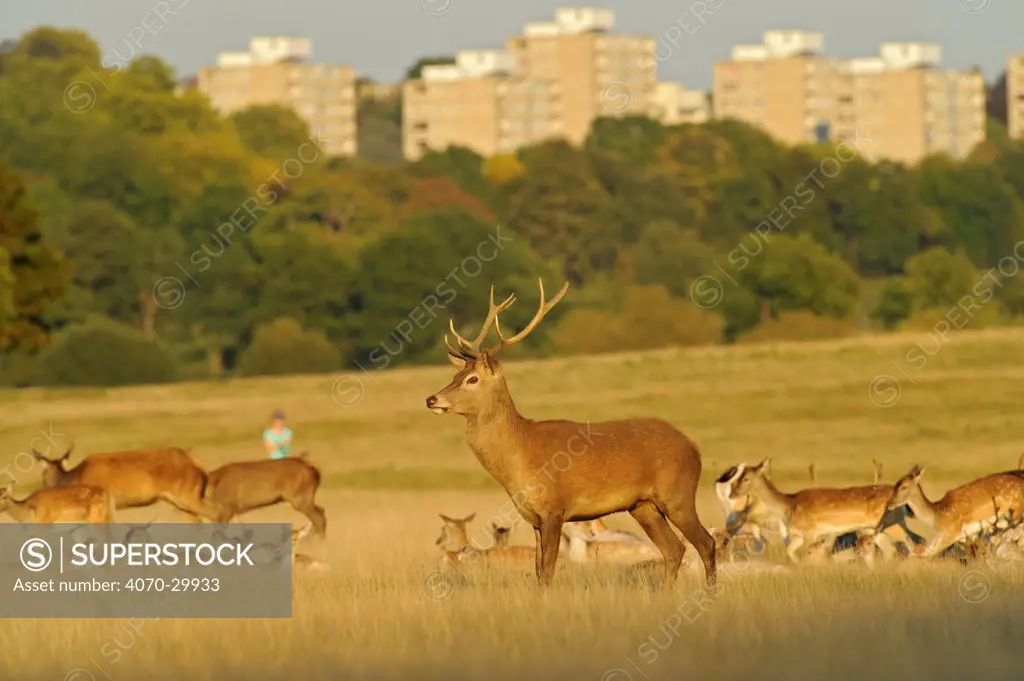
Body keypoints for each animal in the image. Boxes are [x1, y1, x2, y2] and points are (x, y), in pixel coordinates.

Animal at [31, 440, 214, 520]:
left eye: (43, 476)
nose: (41, 489)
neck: (75, 478)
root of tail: (197, 463)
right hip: (180, 502)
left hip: (188, 495)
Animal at [421, 278, 712, 585]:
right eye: (454, 376)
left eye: (472, 379)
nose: (431, 399)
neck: (521, 455)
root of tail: (694, 448)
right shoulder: (534, 517)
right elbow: (538, 570)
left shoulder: (554, 507)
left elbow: (548, 570)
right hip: (643, 506)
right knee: (674, 549)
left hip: (678, 494)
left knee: (705, 543)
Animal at [733, 458, 917, 565]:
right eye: (738, 476)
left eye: (746, 478)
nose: (733, 491)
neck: (789, 505)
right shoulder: (799, 534)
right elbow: (790, 551)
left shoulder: (811, 531)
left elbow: (809, 556)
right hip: (873, 529)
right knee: (890, 549)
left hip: (894, 524)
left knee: (911, 541)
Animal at [884, 464, 1024, 561]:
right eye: (896, 484)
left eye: (904, 487)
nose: (889, 503)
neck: (936, 515)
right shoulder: (957, 537)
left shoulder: (950, 534)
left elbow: (927, 555)